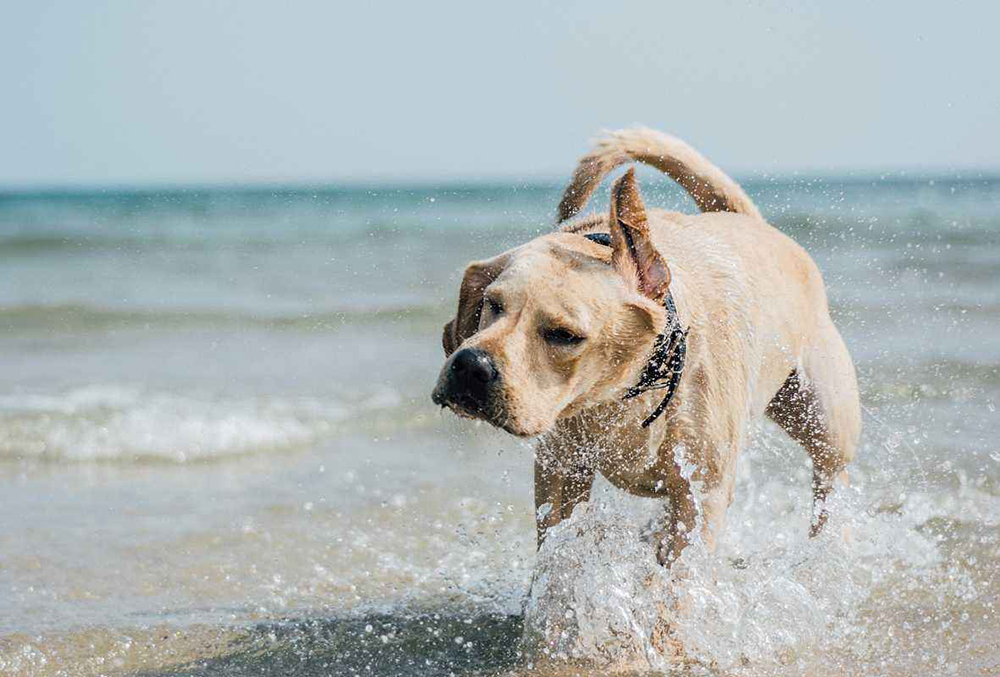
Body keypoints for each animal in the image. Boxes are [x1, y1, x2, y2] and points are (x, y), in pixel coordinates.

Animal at [430, 128, 860, 564]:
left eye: (564, 335)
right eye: (492, 304)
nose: (471, 366)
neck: (623, 393)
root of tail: (751, 223)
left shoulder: (700, 490)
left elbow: (681, 569)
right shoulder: (561, 470)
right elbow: (558, 554)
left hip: (820, 415)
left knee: (830, 475)